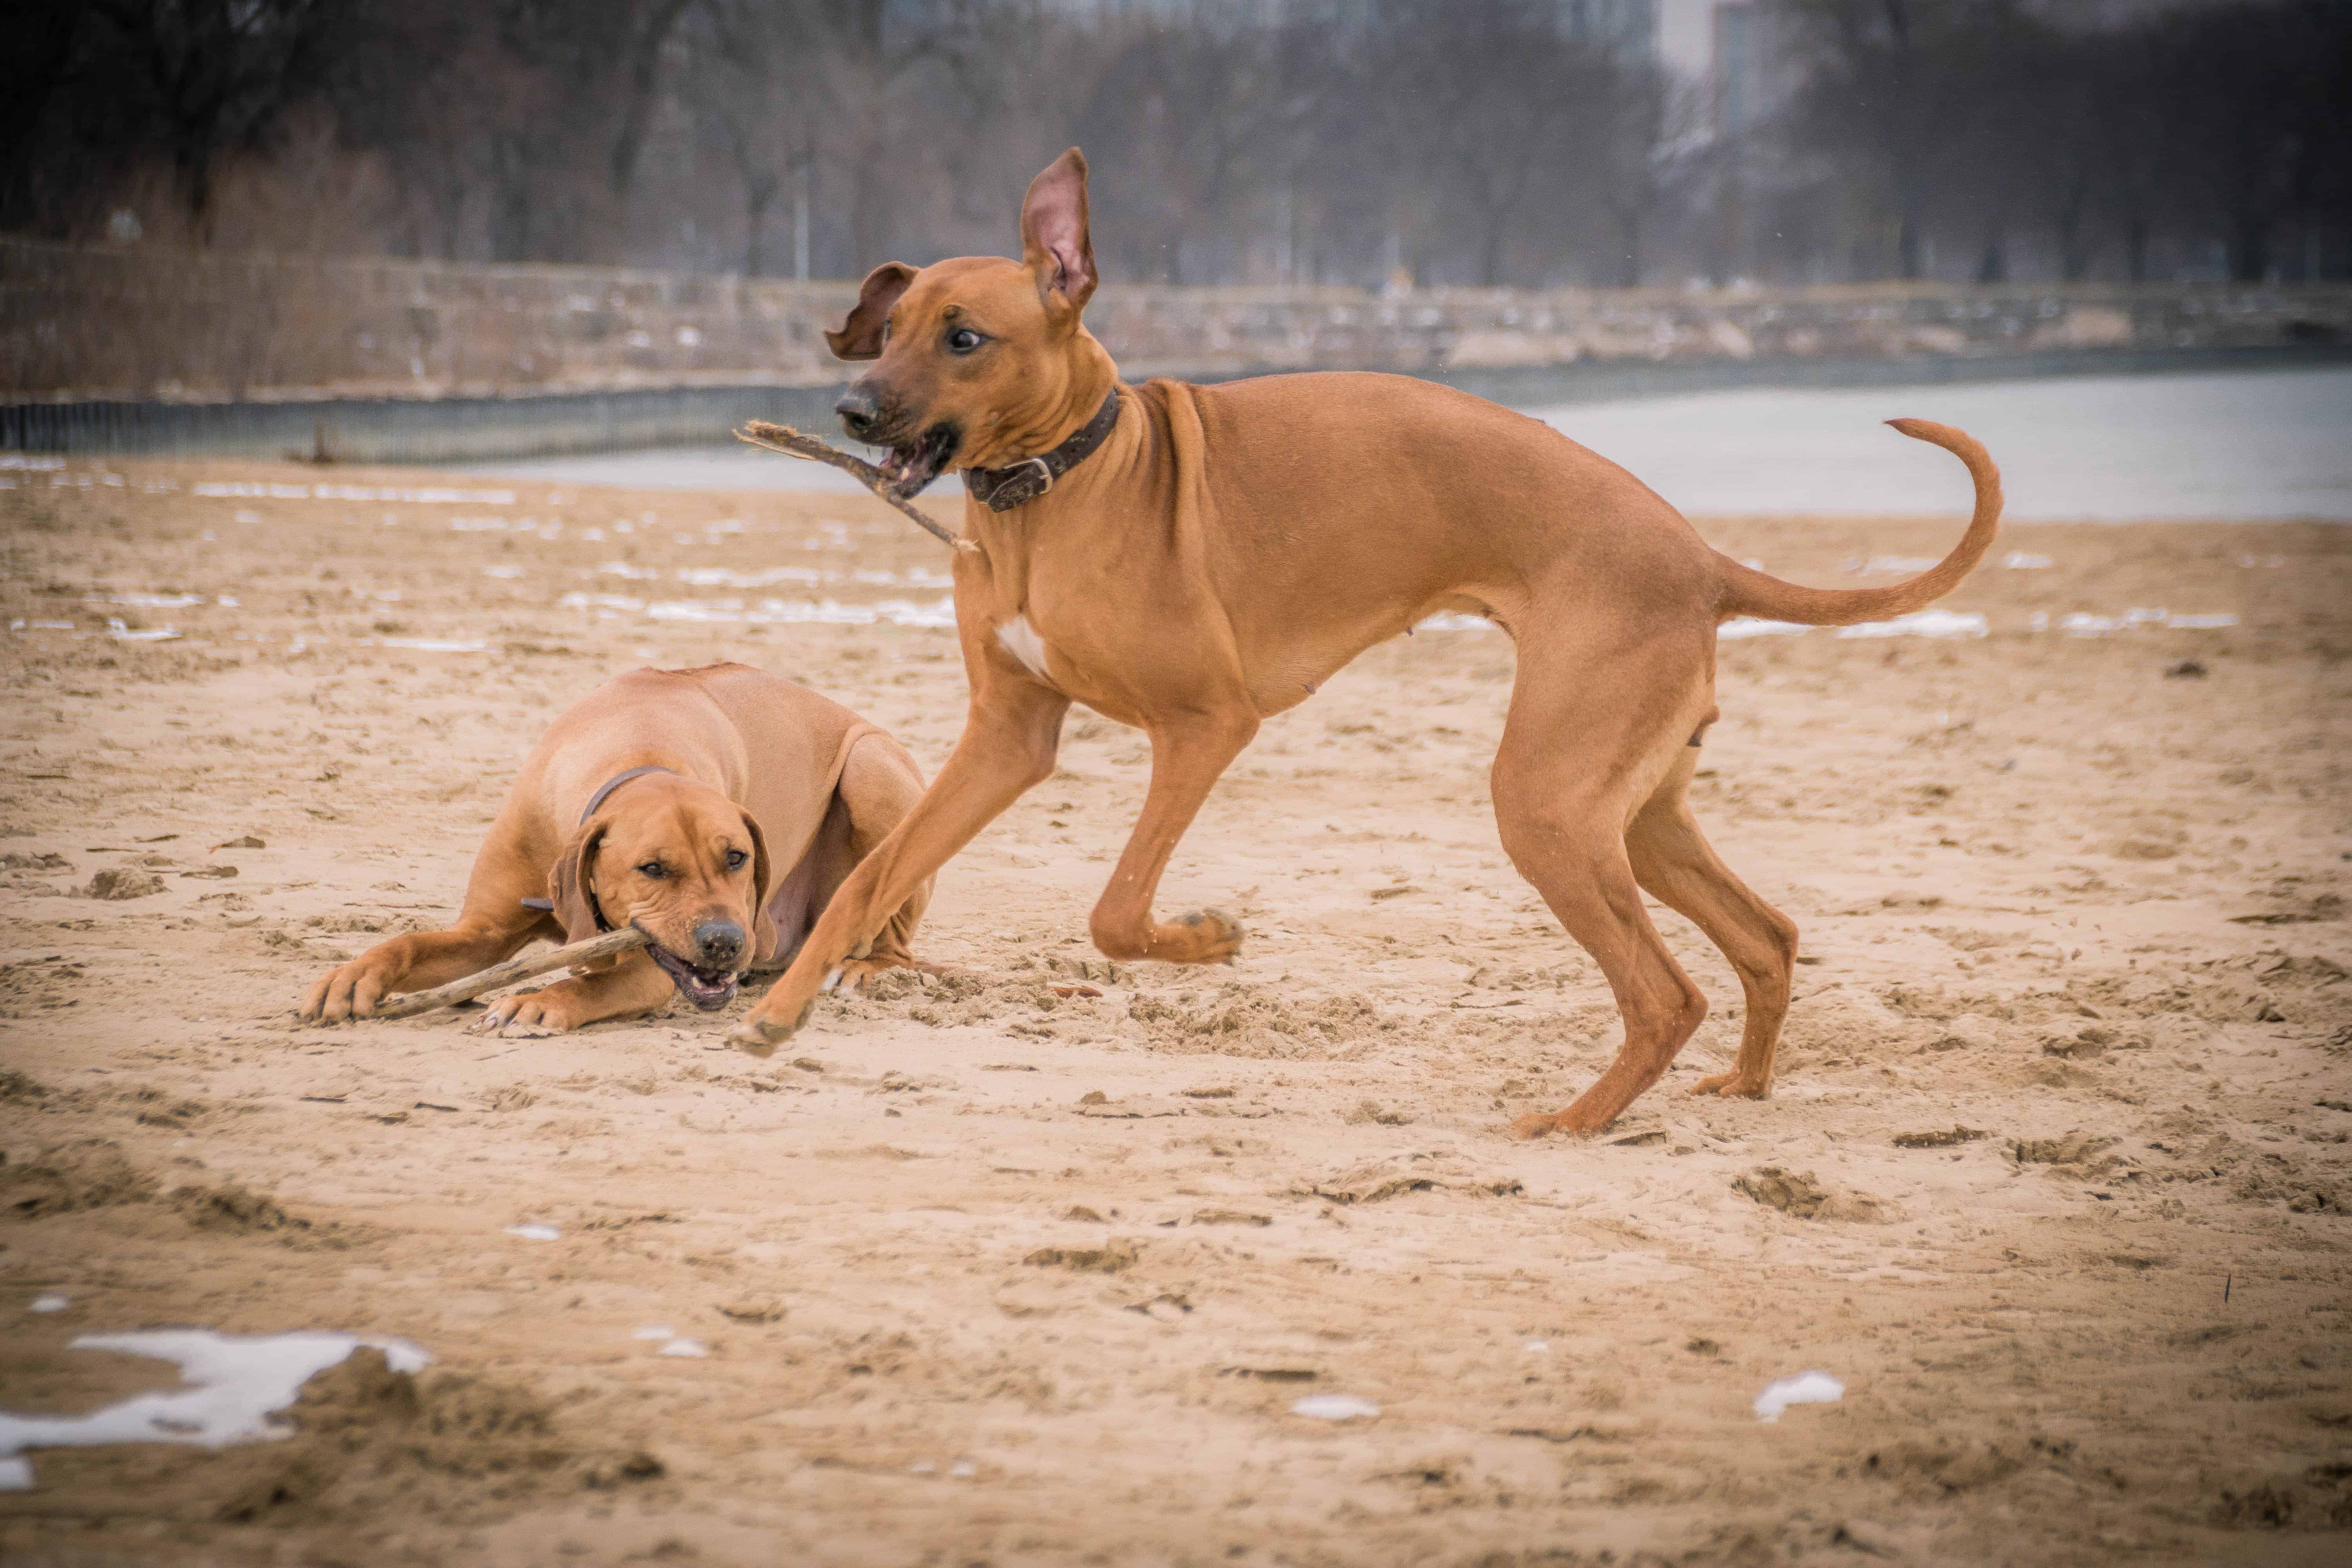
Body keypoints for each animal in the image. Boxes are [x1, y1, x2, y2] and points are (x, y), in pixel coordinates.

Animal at [303, 658, 936, 1029]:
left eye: (737, 858)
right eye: (652, 869)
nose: (727, 943)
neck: (639, 751)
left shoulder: (655, 966)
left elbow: (600, 982)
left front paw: (542, 1000)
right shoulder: (483, 931)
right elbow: (411, 944)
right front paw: (354, 975)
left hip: (872, 769)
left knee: (896, 936)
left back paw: (863, 969)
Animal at [720, 150, 2004, 1142]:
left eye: (965, 337)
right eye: (887, 329)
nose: (850, 414)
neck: (1067, 481)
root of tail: (1700, 558)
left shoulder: (1205, 726)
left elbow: (1117, 911)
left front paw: (1208, 937)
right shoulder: (1007, 738)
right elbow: (878, 872)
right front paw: (780, 1009)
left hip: (1546, 800)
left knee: (1663, 990)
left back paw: (1575, 1121)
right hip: (1631, 810)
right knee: (1766, 938)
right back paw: (1737, 1084)